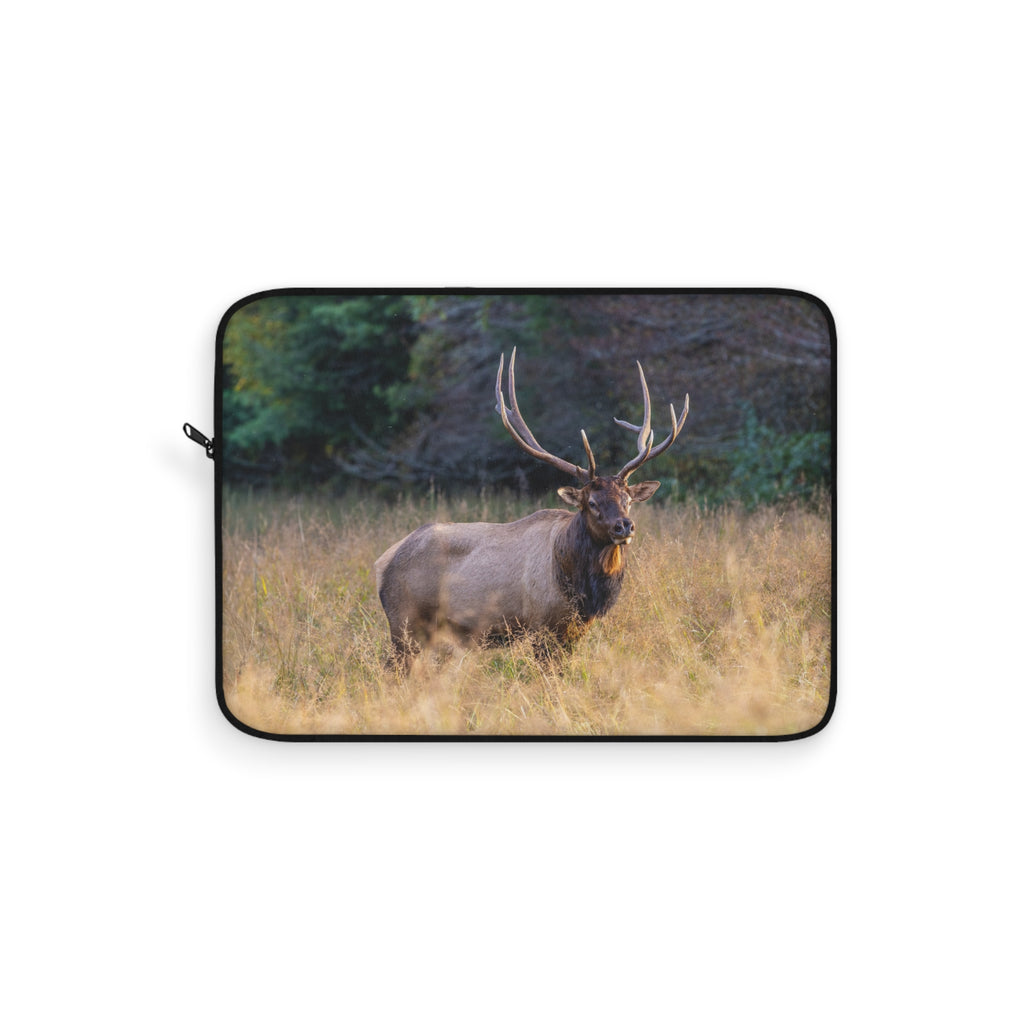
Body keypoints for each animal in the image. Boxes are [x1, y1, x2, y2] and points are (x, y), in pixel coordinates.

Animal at [374, 348, 689, 670]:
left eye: (627, 499)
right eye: (591, 503)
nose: (623, 525)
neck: (580, 587)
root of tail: (382, 562)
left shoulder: (574, 629)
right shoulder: (541, 625)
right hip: (405, 621)